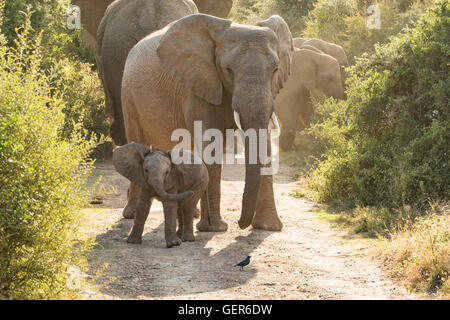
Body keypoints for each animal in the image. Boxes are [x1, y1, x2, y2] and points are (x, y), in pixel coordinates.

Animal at [121, 13, 294, 231]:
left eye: (275, 70)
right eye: (228, 69)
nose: (240, 224)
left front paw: (268, 227)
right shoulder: (197, 85)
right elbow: (211, 144)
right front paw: (214, 228)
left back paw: (190, 212)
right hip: (128, 93)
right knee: (136, 140)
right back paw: (132, 214)